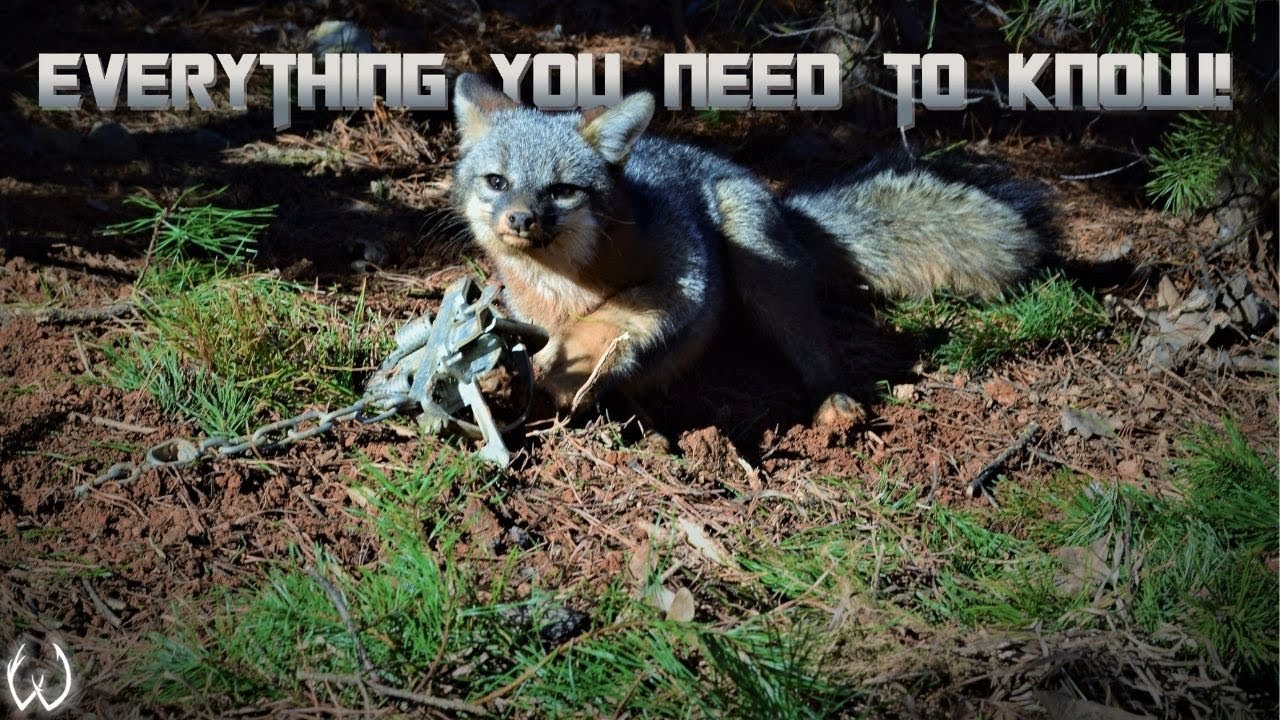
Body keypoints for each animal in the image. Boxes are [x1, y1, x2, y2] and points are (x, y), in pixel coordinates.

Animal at [449, 72, 1051, 428]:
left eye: (561, 190)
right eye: (498, 182)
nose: (520, 219)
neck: (562, 286)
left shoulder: (686, 264)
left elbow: (617, 312)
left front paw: (567, 367)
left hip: (758, 270)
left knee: (816, 347)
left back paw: (833, 400)